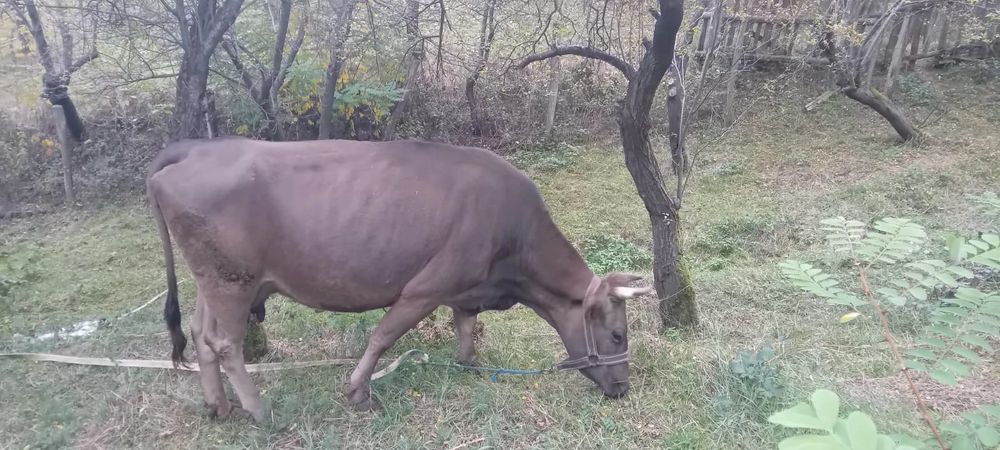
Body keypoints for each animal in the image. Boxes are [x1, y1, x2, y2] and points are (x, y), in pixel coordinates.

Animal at [146, 137, 651, 422]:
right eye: (617, 334)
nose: (624, 388)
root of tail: (196, 147)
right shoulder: (426, 286)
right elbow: (384, 335)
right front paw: (358, 392)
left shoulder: (467, 287)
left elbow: (465, 323)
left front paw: (468, 363)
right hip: (233, 280)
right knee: (225, 343)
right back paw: (259, 410)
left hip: (216, 280)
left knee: (201, 333)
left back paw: (218, 406)